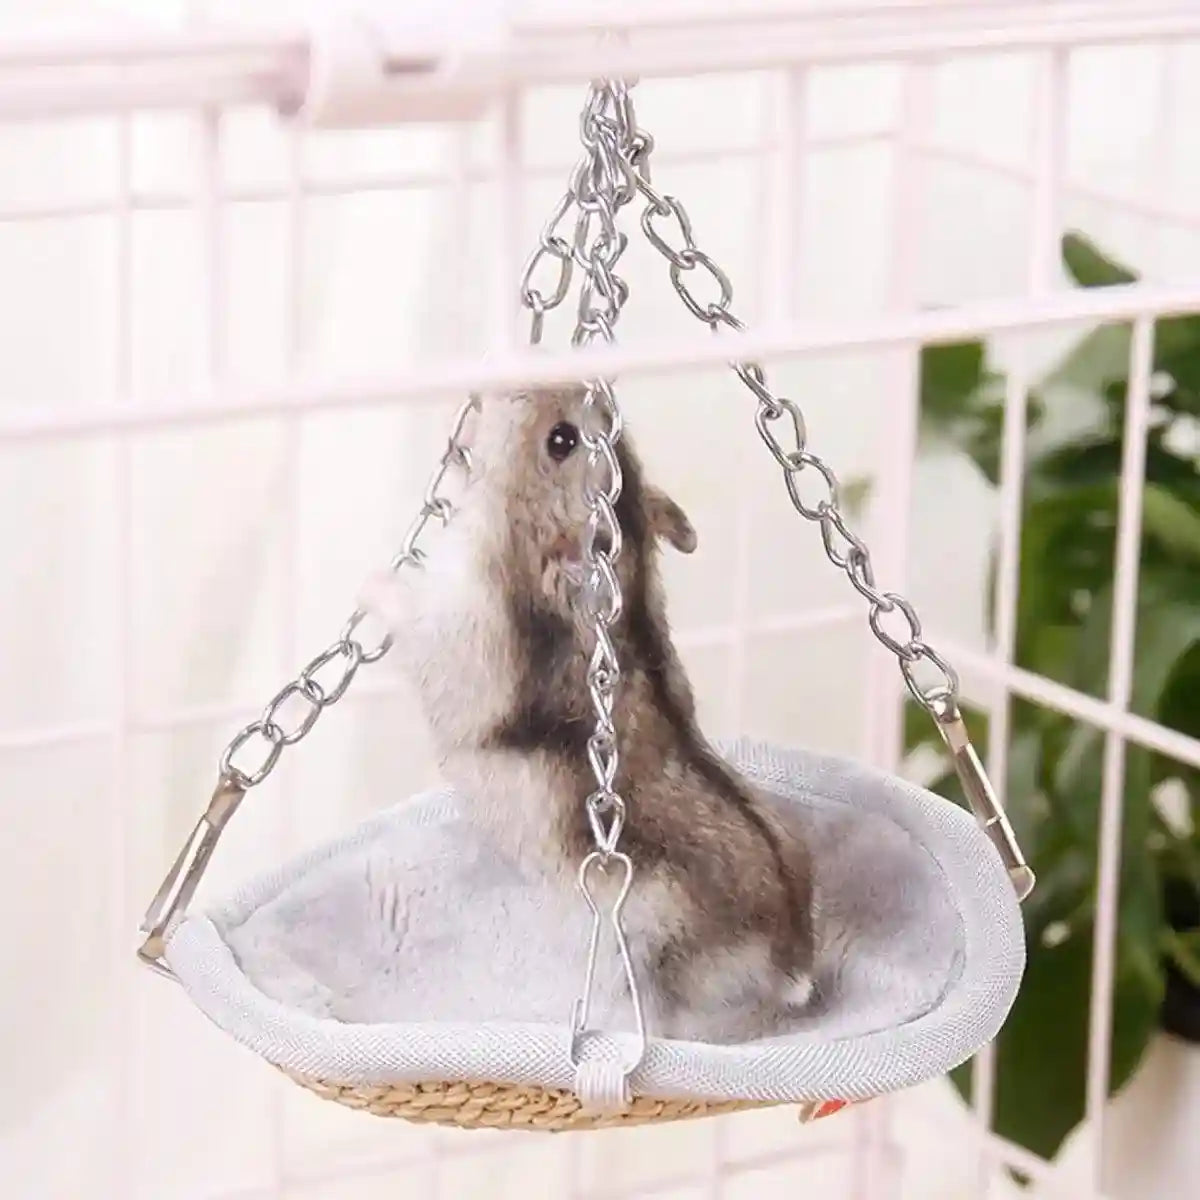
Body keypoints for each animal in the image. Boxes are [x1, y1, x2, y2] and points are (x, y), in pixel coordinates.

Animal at [358, 385, 816, 1042]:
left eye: (562, 441)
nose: (490, 391)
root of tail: (793, 965)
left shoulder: (462, 628)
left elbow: (413, 612)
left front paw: (371, 580)